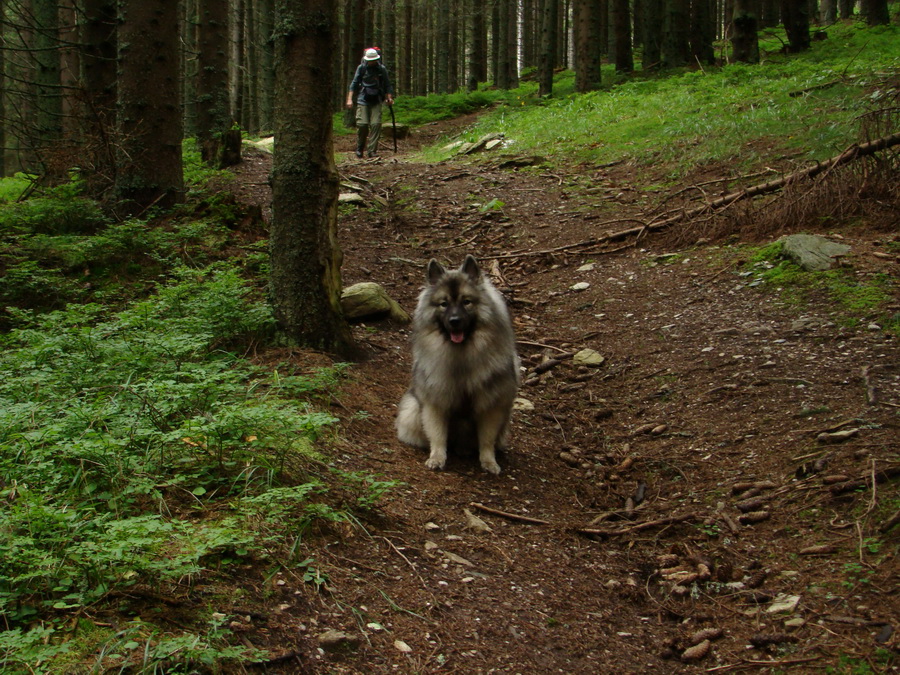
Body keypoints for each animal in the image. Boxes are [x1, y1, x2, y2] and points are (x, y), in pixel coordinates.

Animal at [396, 255, 520, 476]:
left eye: (466, 302)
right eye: (444, 304)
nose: (454, 320)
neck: (461, 355)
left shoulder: (490, 406)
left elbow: (487, 440)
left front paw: (489, 462)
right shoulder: (436, 402)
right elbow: (437, 435)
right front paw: (436, 458)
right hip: (412, 410)